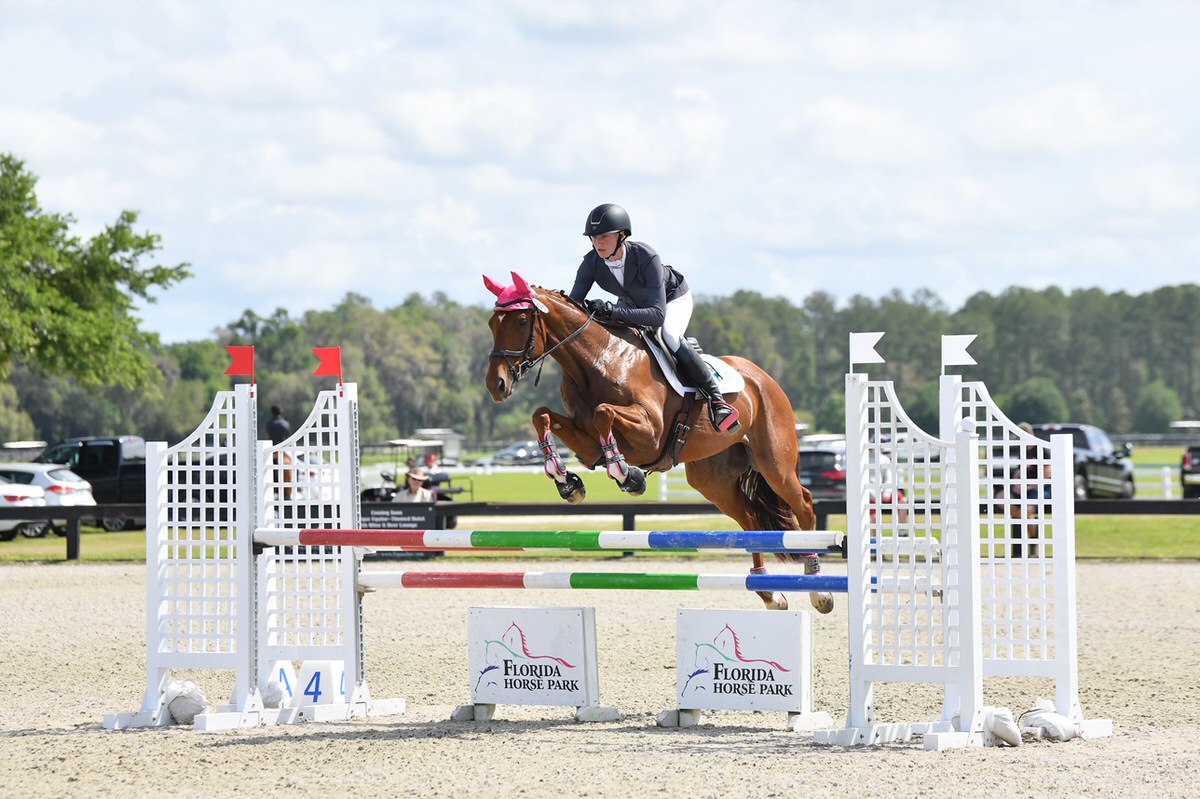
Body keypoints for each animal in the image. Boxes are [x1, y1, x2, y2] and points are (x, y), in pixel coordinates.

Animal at [482, 271, 830, 611]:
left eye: (522, 321)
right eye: (491, 323)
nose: (496, 385)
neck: (597, 361)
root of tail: (763, 379)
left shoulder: (649, 433)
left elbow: (603, 413)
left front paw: (628, 476)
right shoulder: (586, 443)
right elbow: (541, 415)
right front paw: (567, 481)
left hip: (775, 463)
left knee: (804, 504)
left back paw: (818, 588)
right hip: (713, 480)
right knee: (749, 519)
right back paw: (770, 592)